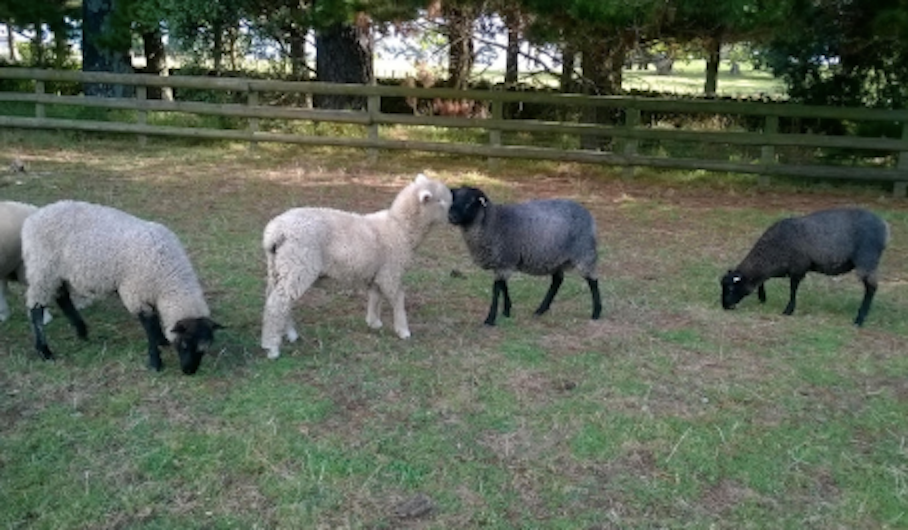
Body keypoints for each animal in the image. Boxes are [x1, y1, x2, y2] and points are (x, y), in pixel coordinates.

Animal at [22, 199, 222, 376]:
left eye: (204, 350)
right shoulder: (136, 293)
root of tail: (33, 217)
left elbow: (155, 321)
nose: (189, 372)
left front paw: (161, 340)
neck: (169, 275)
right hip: (43, 268)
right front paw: (155, 362)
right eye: (184, 345)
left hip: (58, 271)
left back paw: (81, 331)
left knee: (62, 297)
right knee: (36, 308)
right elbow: (149, 326)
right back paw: (44, 351)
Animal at [258, 173, 450, 358]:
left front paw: (374, 322)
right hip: (299, 263)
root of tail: (276, 231)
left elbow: (375, 295)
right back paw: (272, 347)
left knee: (278, 300)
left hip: (279, 266)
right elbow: (398, 298)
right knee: (278, 304)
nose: (453, 217)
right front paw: (403, 330)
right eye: (443, 202)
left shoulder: (378, 271)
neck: (400, 227)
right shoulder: (391, 271)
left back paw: (290, 334)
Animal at [446, 186, 604, 326]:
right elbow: (503, 286)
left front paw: (490, 319)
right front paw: (506, 311)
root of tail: (588, 215)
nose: (451, 217)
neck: (493, 222)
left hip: (584, 253)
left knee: (593, 281)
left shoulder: (505, 260)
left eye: (469, 202)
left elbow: (496, 289)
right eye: (453, 200)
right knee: (557, 281)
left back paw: (596, 313)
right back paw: (541, 310)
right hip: (555, 258)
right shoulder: (503, 262)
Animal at [720, 207, 892, 326]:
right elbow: (763, 281)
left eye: (731, 288)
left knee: (871, 287)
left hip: (867, 258)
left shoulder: (798, 267)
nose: (725, 306)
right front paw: (763, 298)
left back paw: (859, 319)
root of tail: (884, 226)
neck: (773, 251)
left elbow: (793, 288)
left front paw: (788, 310)